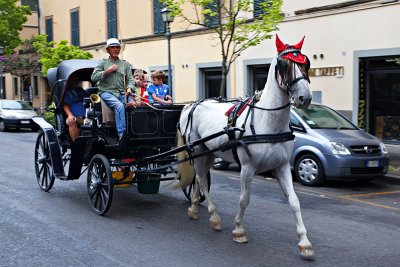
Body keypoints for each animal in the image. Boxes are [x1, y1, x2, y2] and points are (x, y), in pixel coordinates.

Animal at [177, 35, 314, 260]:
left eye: (306, 63)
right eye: (283, 65)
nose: (305, 98)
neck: (267, 122)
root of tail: (191, 105)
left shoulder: (282, 166)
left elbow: (294, 201)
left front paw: (304, 242)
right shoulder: (247, 168)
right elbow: (244, 199)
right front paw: (239, 230)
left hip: (208, 153)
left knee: (199, 178)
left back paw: (194, 208)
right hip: (196, 151)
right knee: (202, 180)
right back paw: (214, 217)